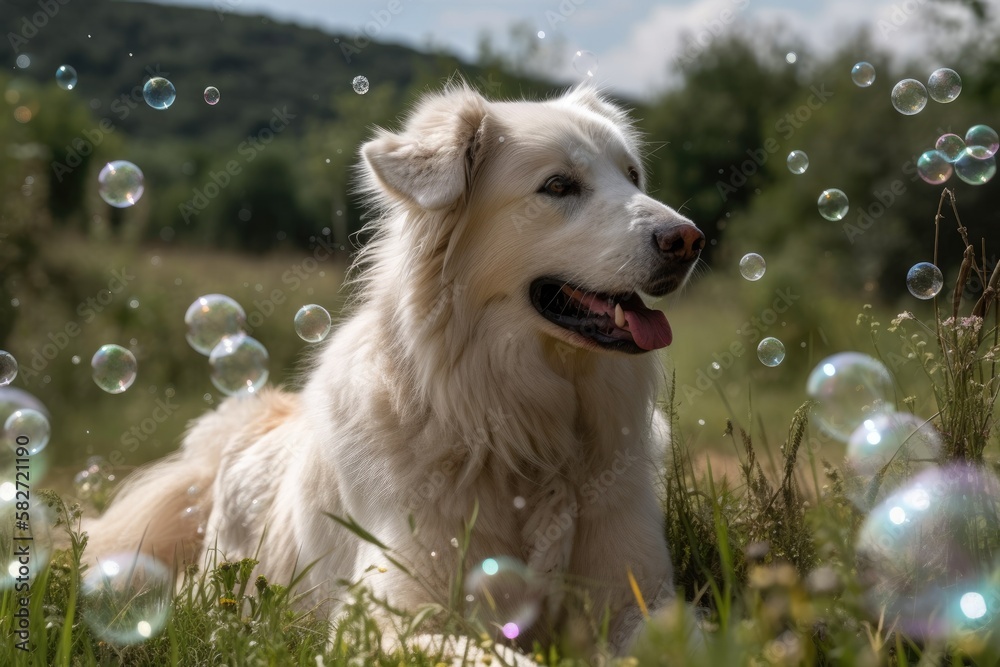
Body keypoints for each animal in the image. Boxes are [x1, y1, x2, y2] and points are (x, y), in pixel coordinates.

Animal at [86, 85, 704, 664]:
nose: (689, 240)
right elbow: (496, 656)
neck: (526, 438)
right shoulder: (388, 620)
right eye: (558, 186)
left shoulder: (643, 599)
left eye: (632, 176)